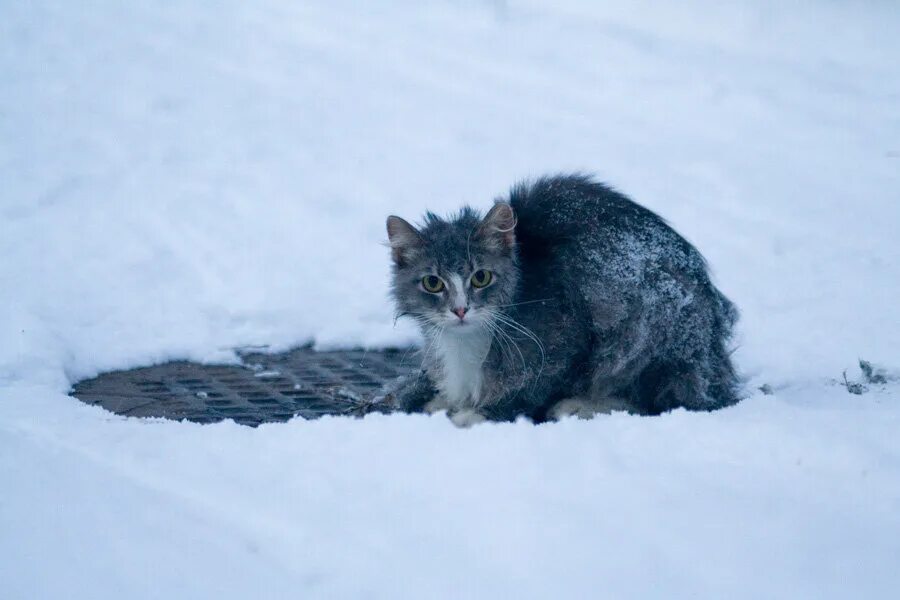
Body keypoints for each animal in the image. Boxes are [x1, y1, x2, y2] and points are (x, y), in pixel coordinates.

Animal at [384, 173, 740, 426]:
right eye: (433, 283)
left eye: (481, 277)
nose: (460, 310)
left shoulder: (564, 341)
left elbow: (528, 390)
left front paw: (476, 413)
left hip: (642, 329)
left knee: (660, 400)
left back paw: (581, 406)